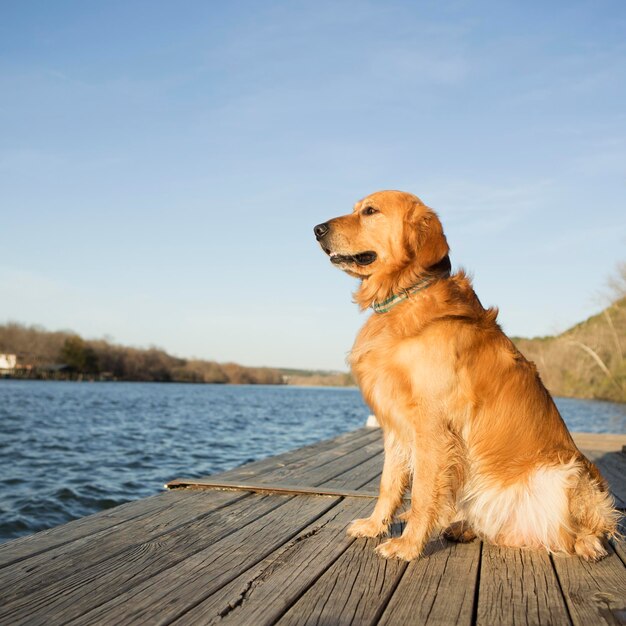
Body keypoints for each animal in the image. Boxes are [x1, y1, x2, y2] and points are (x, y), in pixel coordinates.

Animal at [314, 188, 616, 560]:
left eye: (370, 211)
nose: (317, 229)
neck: (405, 296)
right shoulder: (396, 423)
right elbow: (388, 483)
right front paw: (374, 526)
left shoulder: (432, 425)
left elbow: (423, 493)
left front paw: (408, 545)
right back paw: (462, 528)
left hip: (568, 473)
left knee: (594, 523)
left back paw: (590, 543)